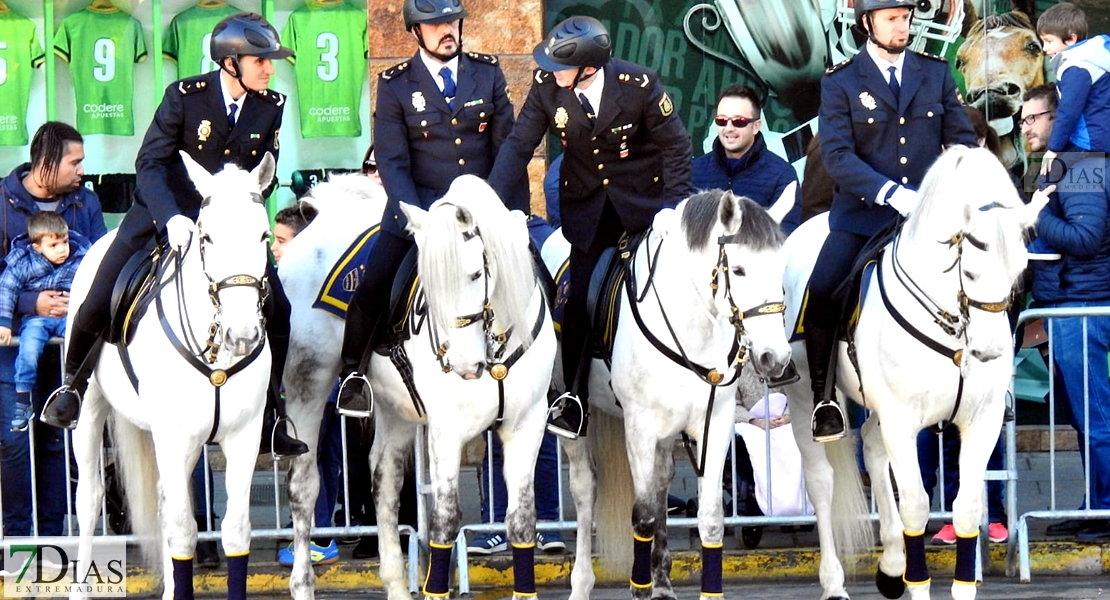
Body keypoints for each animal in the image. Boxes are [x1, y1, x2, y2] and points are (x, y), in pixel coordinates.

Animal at [69, 153, 275, 598]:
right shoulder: (173, 435)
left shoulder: (243, 435)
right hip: (90, 411)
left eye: (264, 236)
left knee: (164, 497)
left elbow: (234, 530)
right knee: (89, 498)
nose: (242, 335)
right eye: (207, 237)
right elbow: (183, 531)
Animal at [543, 188, 794, 598]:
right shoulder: (640, 427)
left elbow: (710, 517)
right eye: (739, 270)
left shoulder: (714, 424)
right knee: (585, 490)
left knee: (661, 484)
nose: (776, 358)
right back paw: (582, 582)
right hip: (572, 415)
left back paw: (661, 582)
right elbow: (642, 517)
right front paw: (639, 587)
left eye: (781, 267)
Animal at [777, 146, 1043, 598]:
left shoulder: (983, 420)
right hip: (803, 400)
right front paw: (917, 582)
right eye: (971, 271)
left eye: (1020, 269)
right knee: (821, 481)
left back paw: (890, 564)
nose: (989, 352)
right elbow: (916, 506)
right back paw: (835, 581)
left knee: (871, 446)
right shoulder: (902, 421)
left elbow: (966, 508)